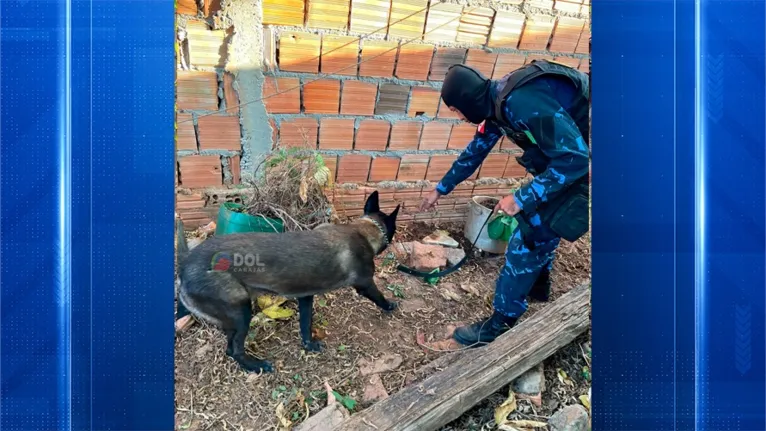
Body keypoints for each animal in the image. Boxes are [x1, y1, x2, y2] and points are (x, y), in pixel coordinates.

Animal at [176, 191, 400, 372]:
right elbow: (379, 297)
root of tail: (185, 264)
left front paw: (309, 345)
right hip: (241, 311)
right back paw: (256, 366)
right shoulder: (366, 284)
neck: (364, 229)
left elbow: (306, 325)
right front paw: (389, 305)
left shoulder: (306, 297)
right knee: (233, 350)